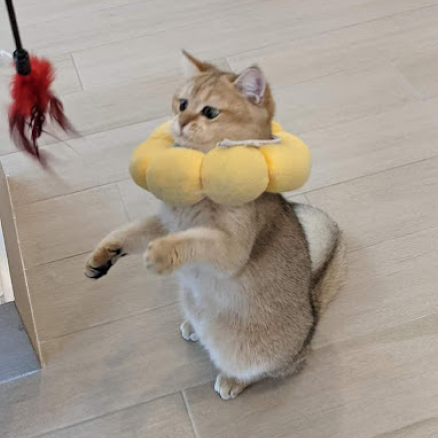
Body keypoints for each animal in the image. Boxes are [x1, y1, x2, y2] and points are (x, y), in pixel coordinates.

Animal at [85, 52, 346, 400]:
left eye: (210, 112)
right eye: (182, 103)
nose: (180, 121)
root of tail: (311, 318)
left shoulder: (229, 248)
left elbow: (196, 240)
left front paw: (161, 255)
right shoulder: (167, 221)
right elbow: (131, 232)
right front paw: (103, 255)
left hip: (251, 354)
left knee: (269, 370)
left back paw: (232, 380)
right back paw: (192, 326)